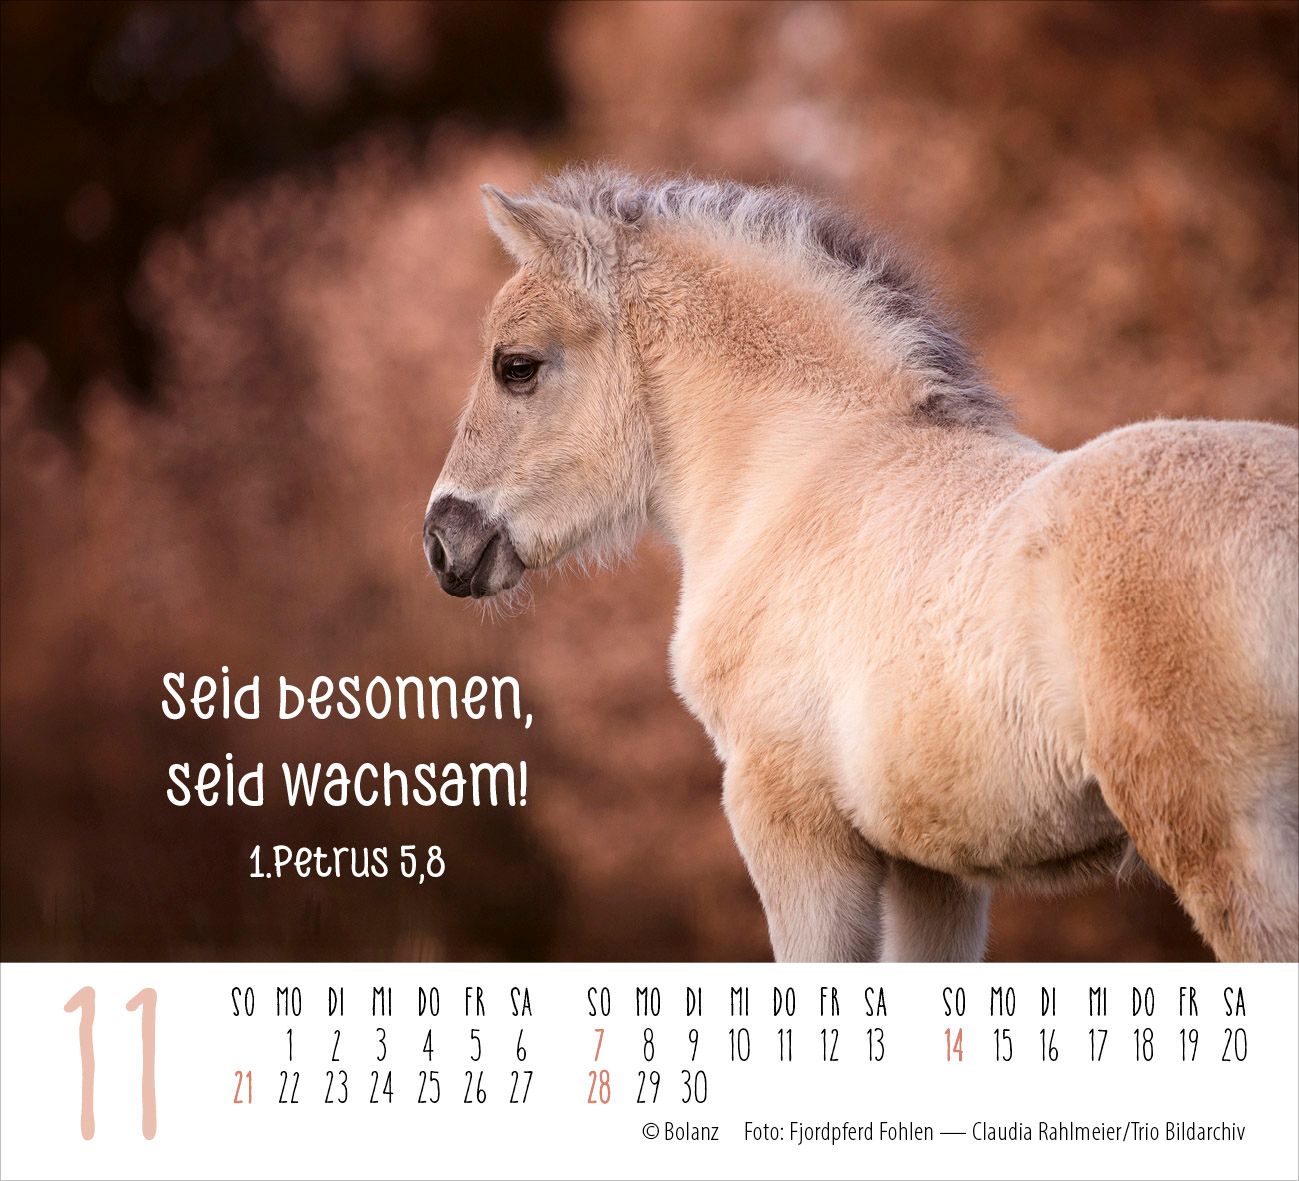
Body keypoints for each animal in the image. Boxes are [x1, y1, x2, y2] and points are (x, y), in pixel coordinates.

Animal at [423, 167, 1299, 962]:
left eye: (517, 365)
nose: (442, 540)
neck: (800, 475)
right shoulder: (933, 866)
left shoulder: (789, 823)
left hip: (1223, 840)